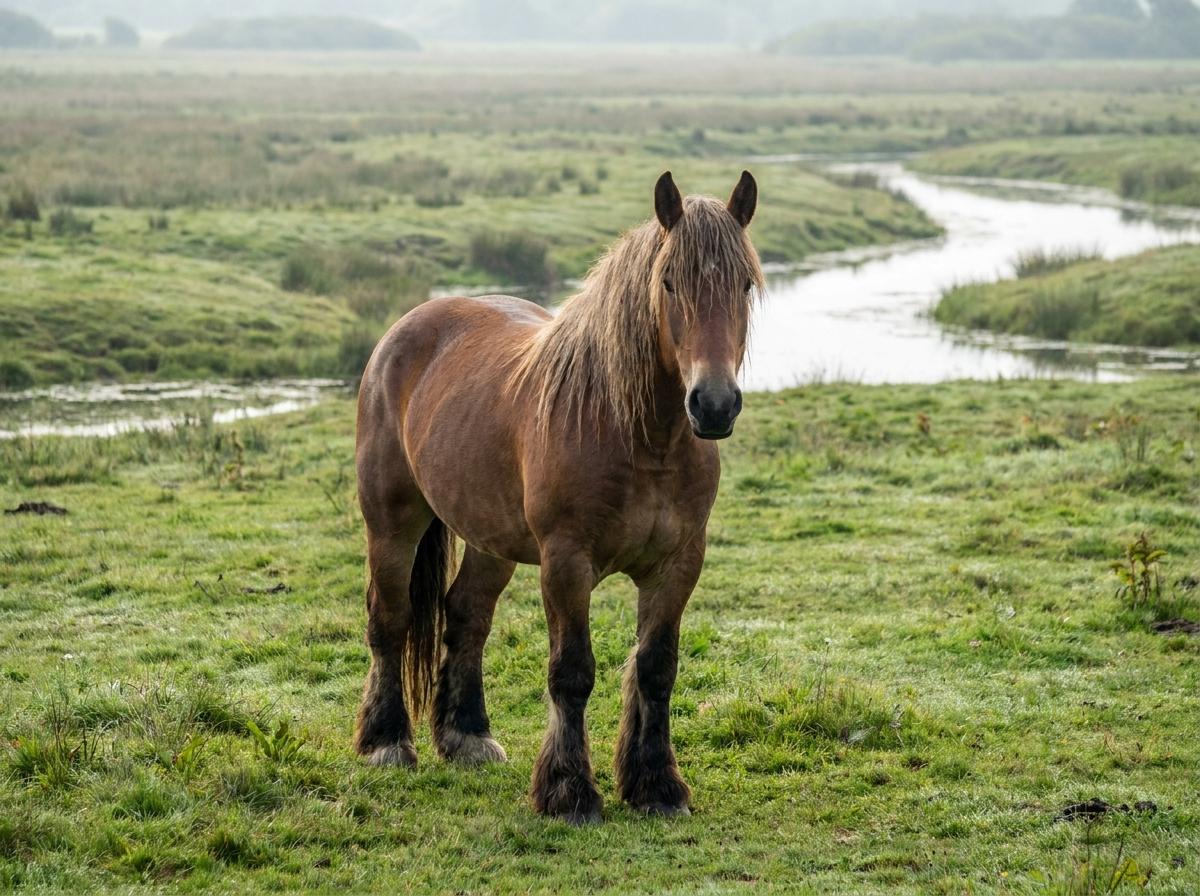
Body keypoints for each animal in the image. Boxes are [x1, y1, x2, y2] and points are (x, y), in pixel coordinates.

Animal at [353, 170, 762, 823]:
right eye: (668, 282)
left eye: (744, 284)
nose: (715, 404)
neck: (640, 435)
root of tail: (407, 327)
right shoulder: (567, 563)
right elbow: (572, 672)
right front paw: (570, 792)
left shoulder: (678, 565)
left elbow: (656, 669)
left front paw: (656, 786)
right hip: (393, 523)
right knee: (389, 619)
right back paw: (387, 743)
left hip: (489, 537)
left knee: (466, 615)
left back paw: (468, 736)